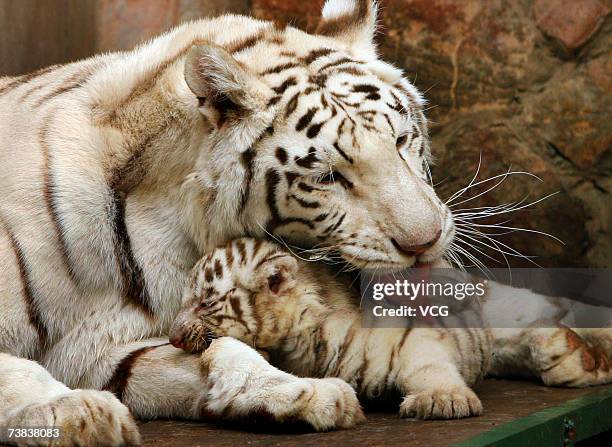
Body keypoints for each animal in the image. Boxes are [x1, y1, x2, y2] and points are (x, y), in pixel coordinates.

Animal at [0, 0, 608, 446]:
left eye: (402, 140)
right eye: (328, 176)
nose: (427, 241)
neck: (169, 227)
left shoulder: (102, 341)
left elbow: (221, 350)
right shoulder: (89, 347)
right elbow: (23, 371)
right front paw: (72, 410)